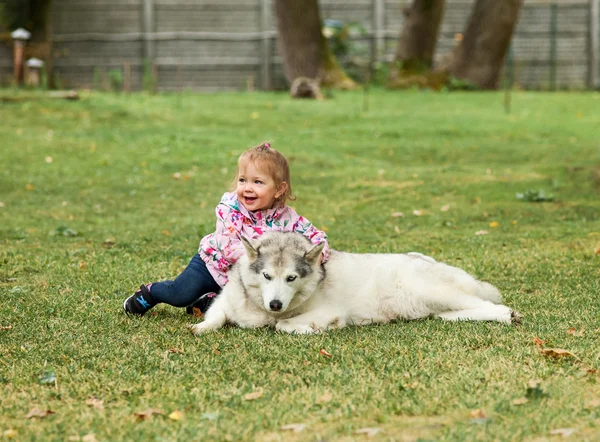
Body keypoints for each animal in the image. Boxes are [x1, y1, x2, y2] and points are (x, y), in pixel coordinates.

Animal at [192, 233, 520, 334]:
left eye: (291, 278)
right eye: (266, 276)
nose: (275, 304)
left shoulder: (325, 311)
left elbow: (284, 326)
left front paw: (310, 328)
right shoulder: (226, 300)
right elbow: (215, 316)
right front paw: (201, 326)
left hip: (437, 290)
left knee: (491, 305)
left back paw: (508, 314)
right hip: (438, 307)